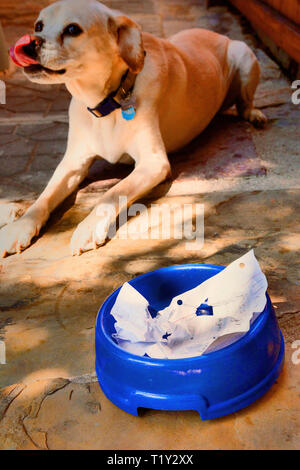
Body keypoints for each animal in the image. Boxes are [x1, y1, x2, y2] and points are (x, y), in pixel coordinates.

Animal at [0, 0, 268, 258]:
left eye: (73, 29)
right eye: (38, 26)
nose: (31, 42)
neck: (108, 101)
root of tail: (214, 33)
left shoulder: (153, 163)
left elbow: (111, 193)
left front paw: (88, 228)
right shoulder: (72, 164)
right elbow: (44, 197)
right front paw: (20, 226)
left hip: (244, 54)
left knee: (245, 103)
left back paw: (254, 114)